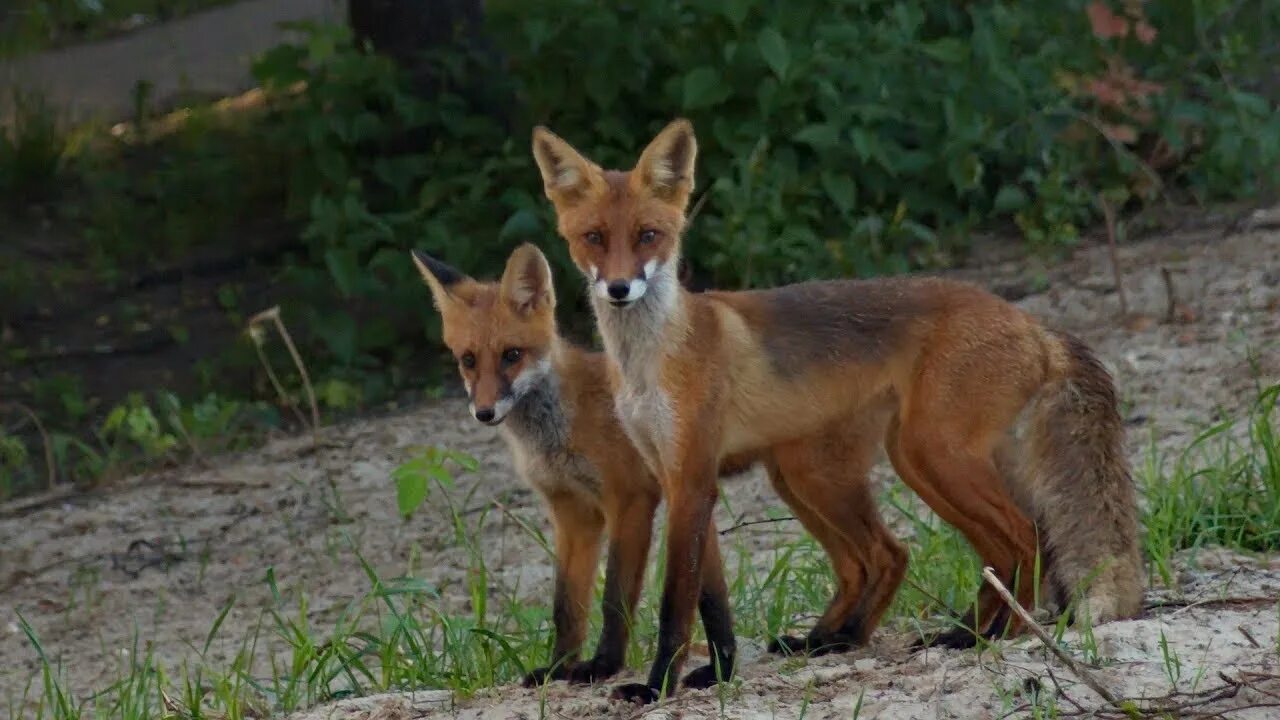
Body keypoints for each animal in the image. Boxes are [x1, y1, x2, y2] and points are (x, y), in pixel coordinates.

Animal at [412, 244, 911, 691]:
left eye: (512, 355)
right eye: (468, 360)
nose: (484, 412)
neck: (559, 429)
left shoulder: (631, 500)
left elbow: (616, 597)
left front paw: (603, 668)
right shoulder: (573, 513)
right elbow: (567, 606)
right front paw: (558, 669)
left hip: (816, 483)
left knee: (889, 554)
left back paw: (845, 639)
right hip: (795, 487)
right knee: (855, 567)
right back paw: (822, 640)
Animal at [527, 117, 1141, 702]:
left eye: (648, 236)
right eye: (595, 238)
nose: (619, 289)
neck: (651, 360)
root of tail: (1034, 325)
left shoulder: (692, 478)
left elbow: (676, 603)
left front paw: (655, 687)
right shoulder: (678, 478)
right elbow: (712, 602)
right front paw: (718, 674)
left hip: (924, 456)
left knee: (1023, 536)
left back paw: (995, 636)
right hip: (882, 466)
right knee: (978, 551)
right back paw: (949, 635)